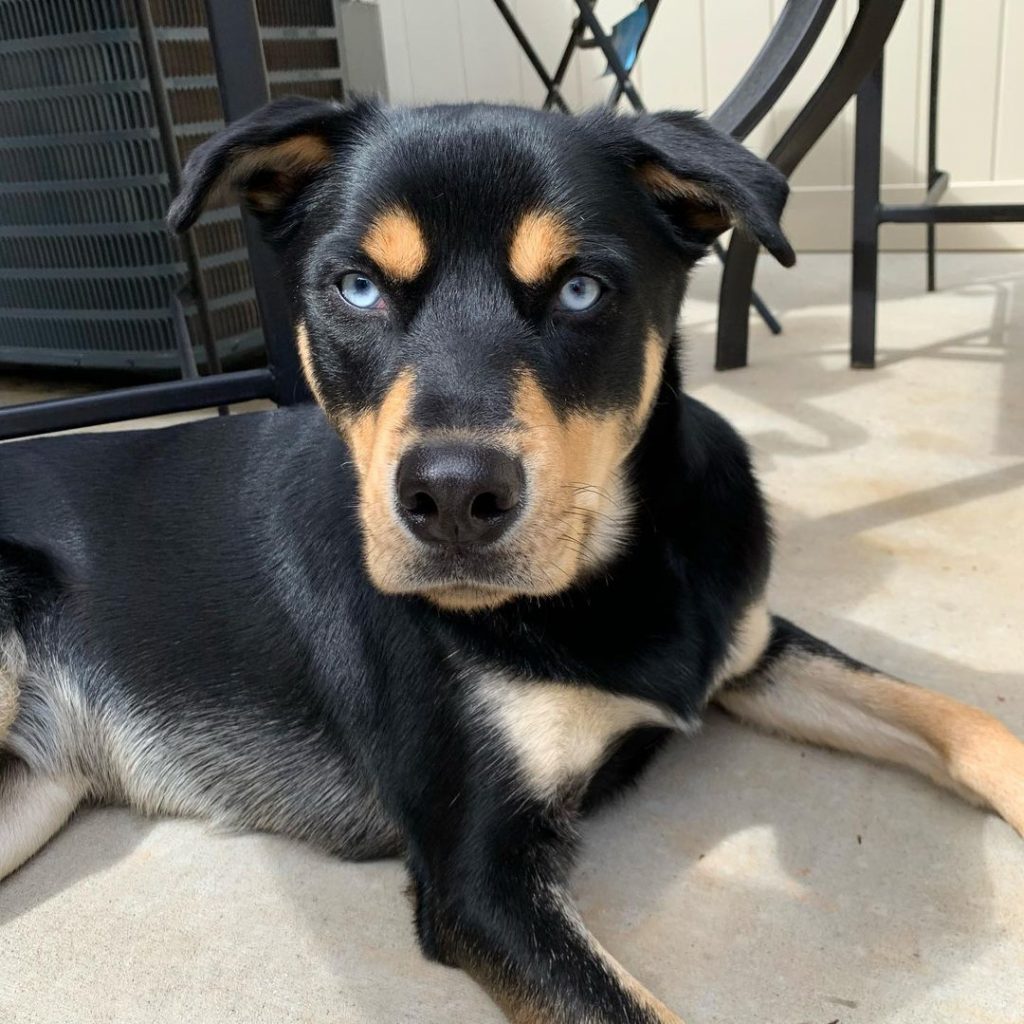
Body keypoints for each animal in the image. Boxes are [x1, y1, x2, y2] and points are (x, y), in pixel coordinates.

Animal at [2, 97, 1024, 1024]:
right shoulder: (479, 881)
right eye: (357, 288)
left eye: (580, 290)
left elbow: (961, 721)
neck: (610, 570)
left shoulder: (751, 650)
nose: (453, 497)